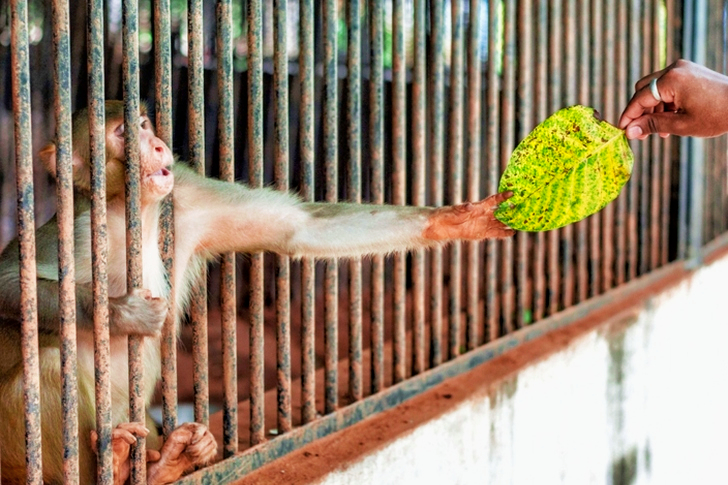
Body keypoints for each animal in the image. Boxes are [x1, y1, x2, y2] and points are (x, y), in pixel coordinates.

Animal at [0, 100, 514, 484]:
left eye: (144, 125)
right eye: (125, 132)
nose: (160, 144)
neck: (132, 214)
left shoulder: (184, 198)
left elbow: (298, 228)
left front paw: (460, 220)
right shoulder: (77, 229)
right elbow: (10, 283)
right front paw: (123, 313)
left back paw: (162, 465)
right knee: (47, 365)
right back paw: (123, 465)